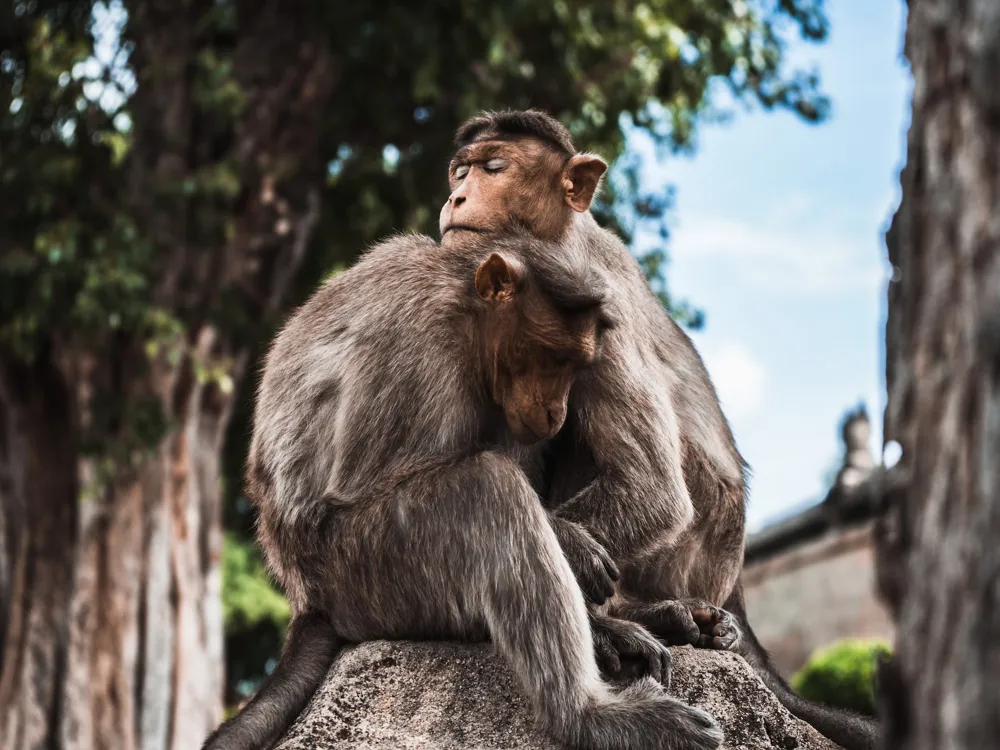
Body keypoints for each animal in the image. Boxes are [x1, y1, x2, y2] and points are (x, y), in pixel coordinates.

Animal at [199, 234, 724, 750]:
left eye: (575, 364)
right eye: (553, 358)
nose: (555, 410)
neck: (466, 307)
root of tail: (307, 596)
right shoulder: (417, 341)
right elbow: (361, 484)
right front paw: (573, 548)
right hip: (365, 572)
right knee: (486, 490)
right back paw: (587, 715)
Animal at [442, 107, 880, 750]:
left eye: (493, 167)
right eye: (460, 170)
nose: (456, 195)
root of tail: (735, 586)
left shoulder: (594, 310)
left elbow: (652, 487)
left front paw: (574, 554)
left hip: (686, 559)